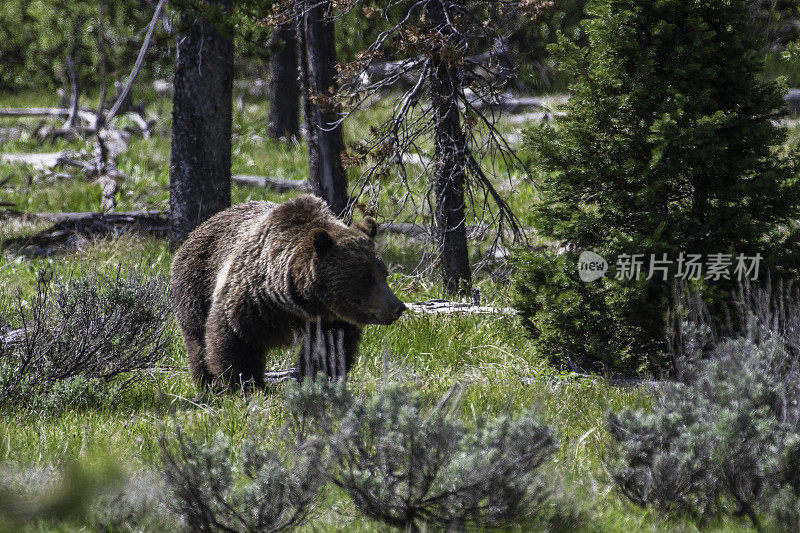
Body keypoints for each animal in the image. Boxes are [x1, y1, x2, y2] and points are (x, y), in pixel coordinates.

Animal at [170, 193, 406, 388]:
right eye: (366, 277)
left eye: (384, 274)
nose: (398, 306)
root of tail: (198, 228)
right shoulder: (249, 301)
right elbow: (234, 342)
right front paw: (246, 386)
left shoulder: (329, 321)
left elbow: (330, 351)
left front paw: (318, 380)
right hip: (196, 287)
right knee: (197, 342)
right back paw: (207, 385)